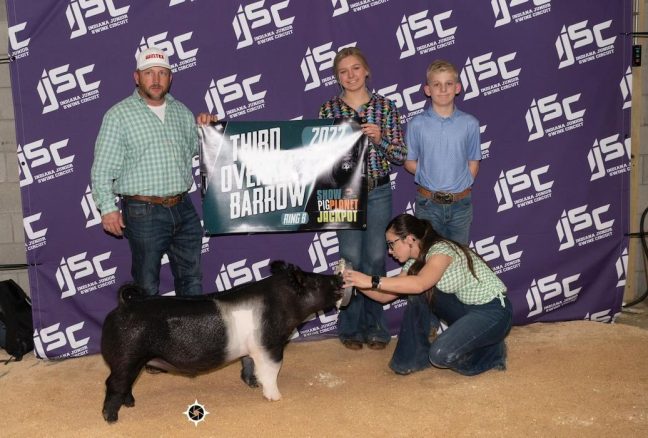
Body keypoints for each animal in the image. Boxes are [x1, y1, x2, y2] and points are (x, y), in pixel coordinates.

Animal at [101, 260, 344, 420]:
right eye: (315, 281)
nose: (338, 277)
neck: (283, 303)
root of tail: (124, 305)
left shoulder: (252, 348)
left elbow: (248, 365)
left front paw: (253, 385)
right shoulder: (270, 345)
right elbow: (272, 371)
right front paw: (276, 398)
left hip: (134, 361)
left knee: (126, 384)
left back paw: (131, 405)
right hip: (126, 357)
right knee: (113, 383)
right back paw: (111, 418)